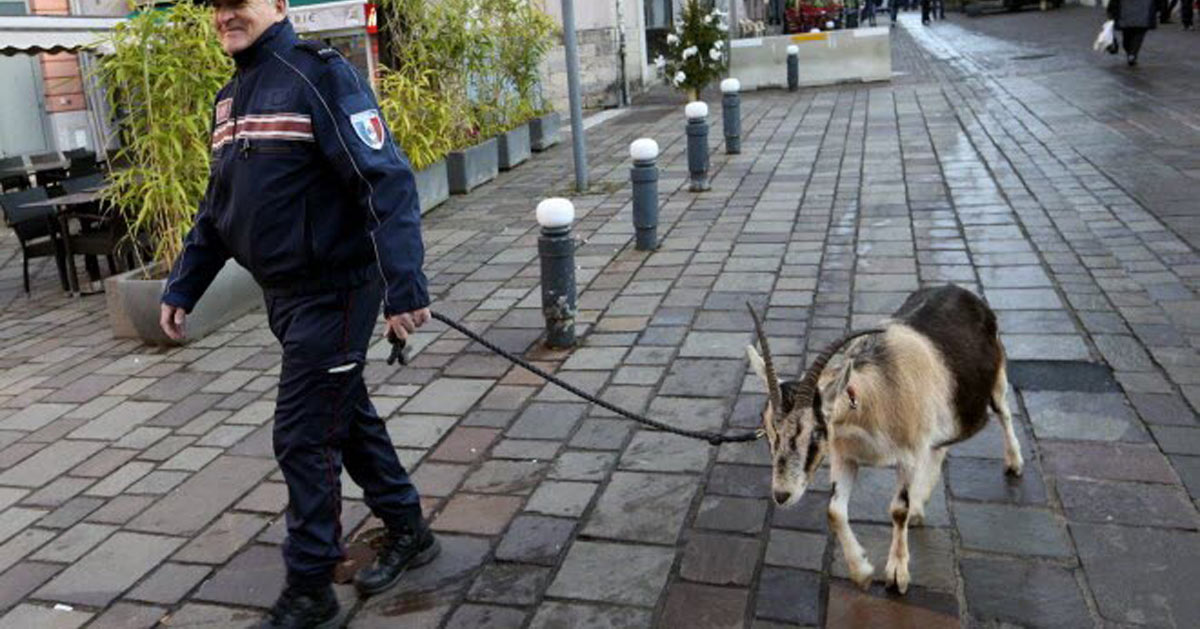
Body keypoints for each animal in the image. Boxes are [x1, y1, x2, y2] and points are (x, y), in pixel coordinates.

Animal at [748, 284, 1022, 595]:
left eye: (815, 432)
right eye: (769, 432)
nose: (782, 495)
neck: (875, 397)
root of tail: (963, 292)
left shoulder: (909, 456)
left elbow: (897, 510)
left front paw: (897, 574)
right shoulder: (845, 456)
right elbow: (834, 511)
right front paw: (862, 572)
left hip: (997, 380)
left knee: (1004, 413)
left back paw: (1014, 463)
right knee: (939, 449)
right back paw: (919, 508)